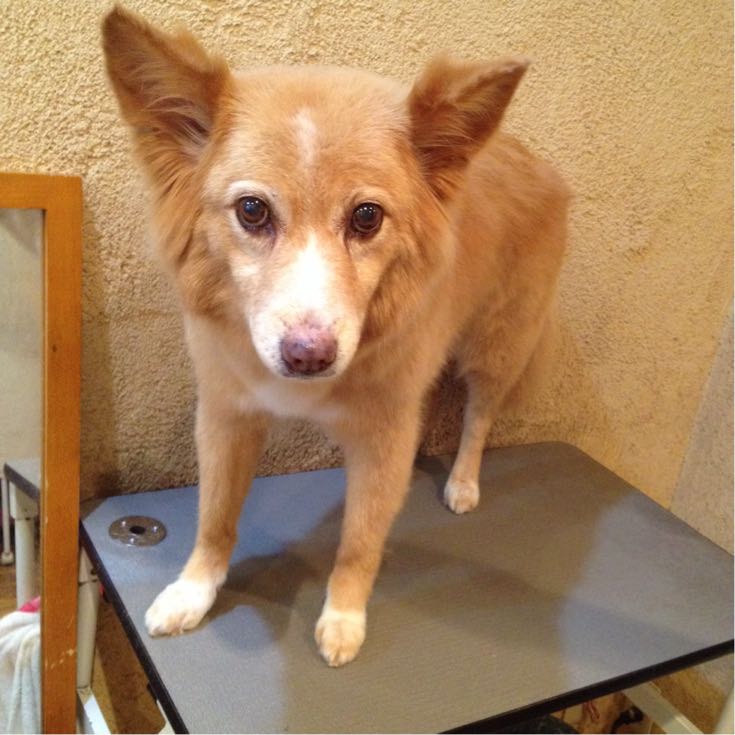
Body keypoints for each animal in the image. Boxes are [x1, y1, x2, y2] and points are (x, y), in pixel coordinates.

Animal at [102, 5, 568, 667]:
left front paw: (344, 616)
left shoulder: (383, 433)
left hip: (497, 346)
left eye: (366, 217)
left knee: (479, 416)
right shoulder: (226, 413)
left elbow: (359, 540)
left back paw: (462, 481)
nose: (308, 356)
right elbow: (214, 515)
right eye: (252, 211)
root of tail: (535, 160)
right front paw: (194, 591)